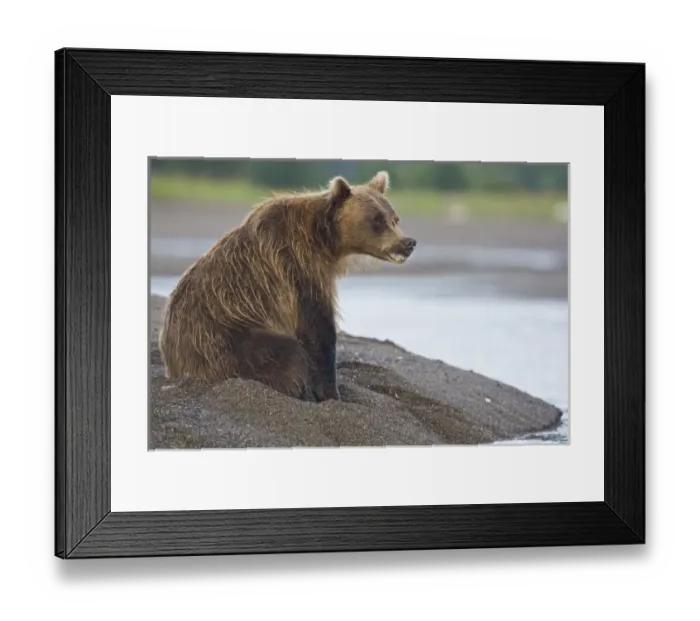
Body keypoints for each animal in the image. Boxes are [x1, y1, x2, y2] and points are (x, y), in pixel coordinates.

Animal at [158, 171, 417, 402]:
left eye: (394, 218)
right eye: (377, 220)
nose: (408, 243)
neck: (323, 240)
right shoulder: (296, 267)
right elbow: (318, 329)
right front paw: (331, 393)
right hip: (225, 341)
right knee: (286, 353)